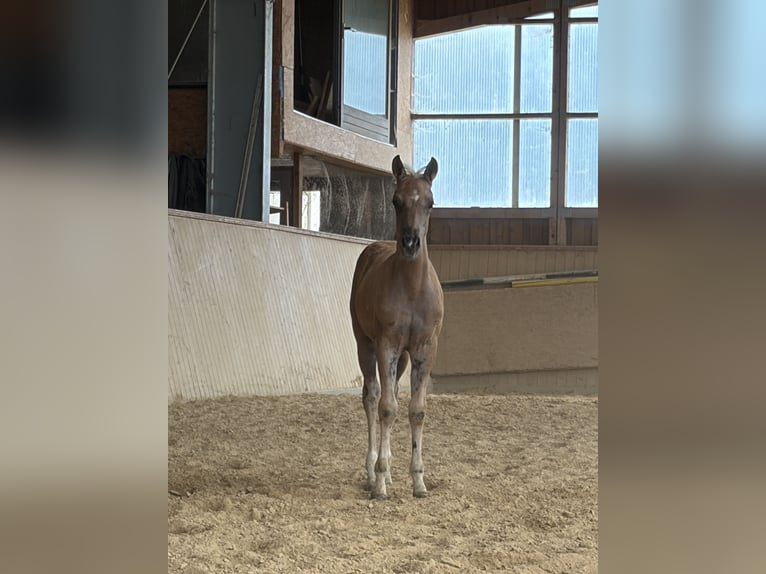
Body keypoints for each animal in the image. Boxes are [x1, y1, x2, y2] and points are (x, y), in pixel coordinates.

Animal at [349, 155, 444, 500]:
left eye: (430, 202)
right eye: (396, 201)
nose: (411, 243)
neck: (412, 288)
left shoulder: (425, 349)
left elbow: (416, 410)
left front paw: (418, 482)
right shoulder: (386, 345)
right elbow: (387, 408)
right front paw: (378, 483)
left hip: (402, 357)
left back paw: (389, 470)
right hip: (365, 345)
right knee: (372, 396)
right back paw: (373, 470)